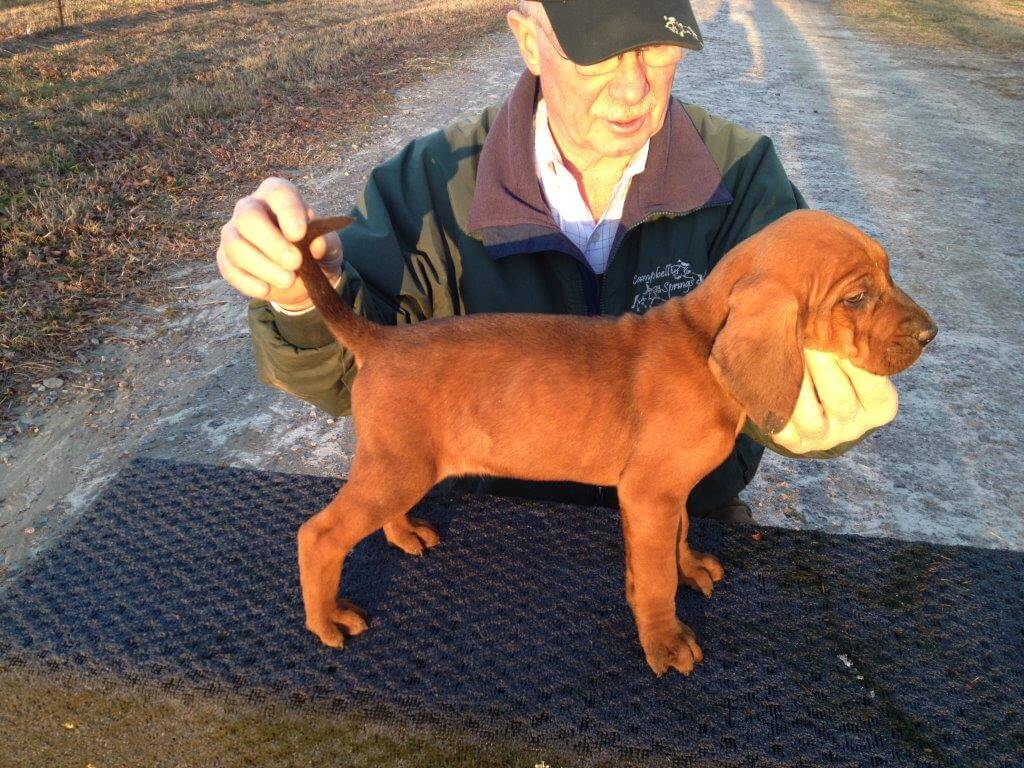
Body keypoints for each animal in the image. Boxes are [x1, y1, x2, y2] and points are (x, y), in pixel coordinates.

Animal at [288, 207, 937, 675]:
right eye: (856, 297)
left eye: (889, 273)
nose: (932, 333)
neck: (701, 347)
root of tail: (380, 340)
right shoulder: (648, 493)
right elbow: (653, 582)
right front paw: (666, 643)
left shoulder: (665, 493)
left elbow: (675, 542)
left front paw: (689, 569)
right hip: (395, 468)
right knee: (319, 535)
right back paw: (326, 621)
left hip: (402, 466)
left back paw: (405, 536)